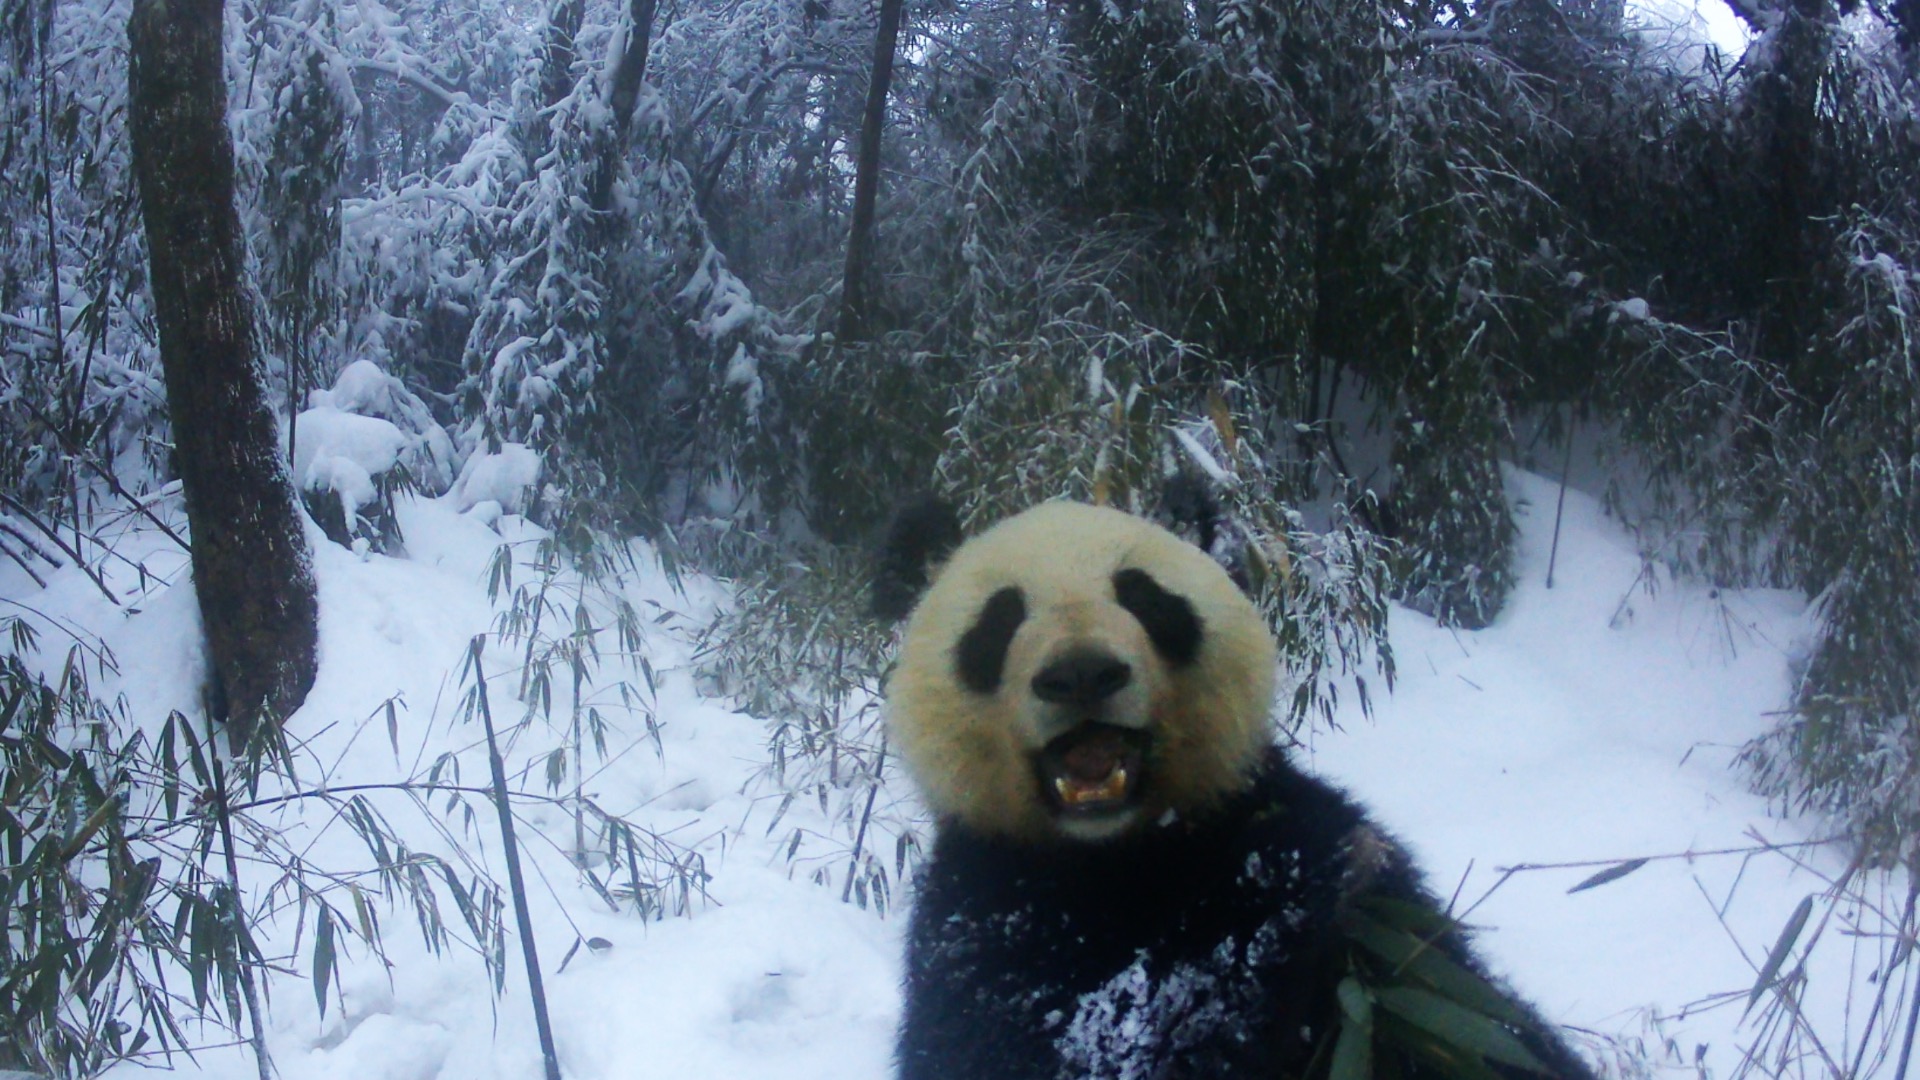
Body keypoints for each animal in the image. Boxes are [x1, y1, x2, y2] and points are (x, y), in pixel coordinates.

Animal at [875, 498, 1599, 1080]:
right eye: (1000, 619)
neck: (1125, 851)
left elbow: (1480, 1028)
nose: (1081, 673)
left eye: (1143, 597)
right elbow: (1094, 1044)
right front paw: (1289, 864)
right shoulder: (982, 909)